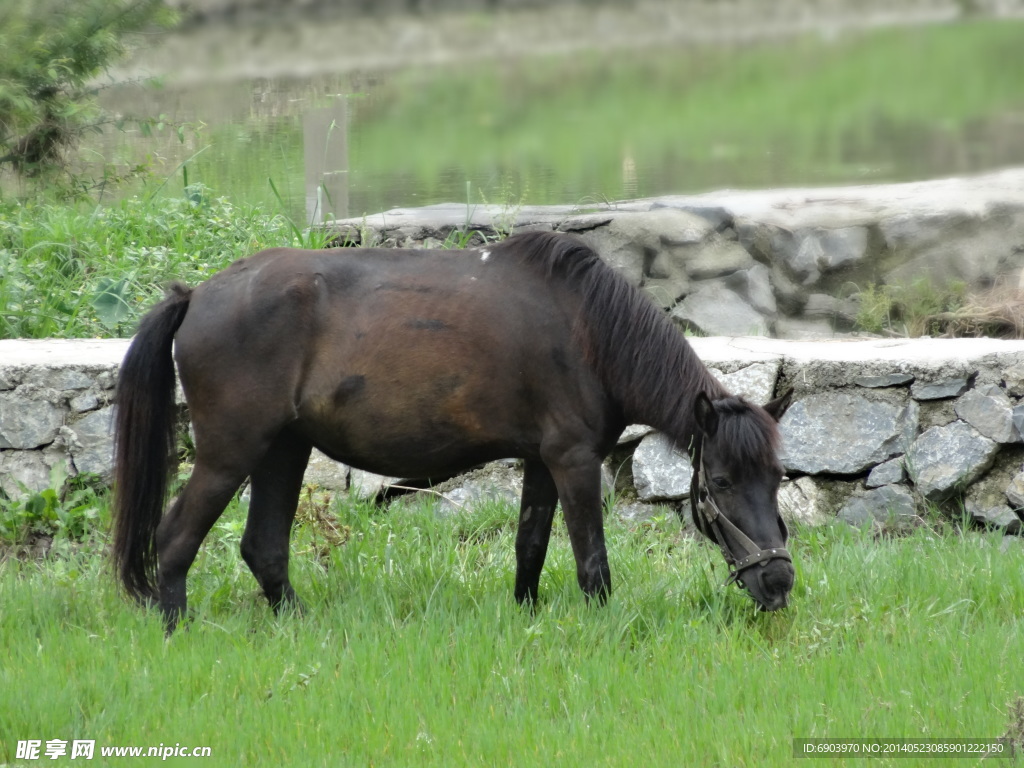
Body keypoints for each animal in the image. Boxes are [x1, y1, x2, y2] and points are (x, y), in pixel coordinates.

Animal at [112, 231, 794, 632]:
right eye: (721, 483)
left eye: (778, 479)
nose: (779, 582)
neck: (589, 330)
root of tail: (196, 296)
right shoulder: (573, 461)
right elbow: (592, 564)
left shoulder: (542, 462)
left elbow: (529, 547)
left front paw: (527, 618)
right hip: (230, 454)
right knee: (174, 540)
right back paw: (176, 630)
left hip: (284, 448)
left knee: (264, 548)